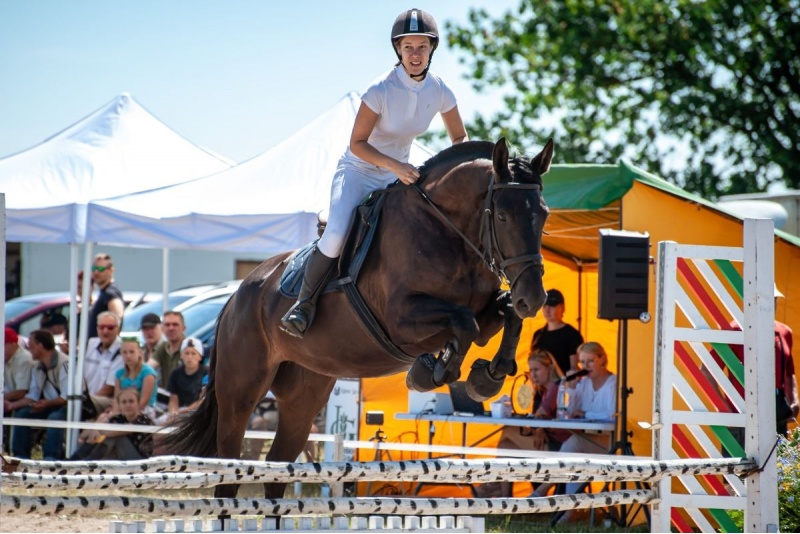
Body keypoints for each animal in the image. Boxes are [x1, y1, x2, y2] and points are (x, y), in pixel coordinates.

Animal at [159, 138, 552, 502]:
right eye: (502, 216)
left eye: (544, 215)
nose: (534, 298)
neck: (448, 231)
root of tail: (238, 294)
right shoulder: (401, 319)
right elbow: (463, 321)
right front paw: (431, 373)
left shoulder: (484, 311)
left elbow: (502, 313)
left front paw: (487, 376)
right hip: (241, 390)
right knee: (230, 469)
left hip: (305, 393)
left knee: (277, 467)